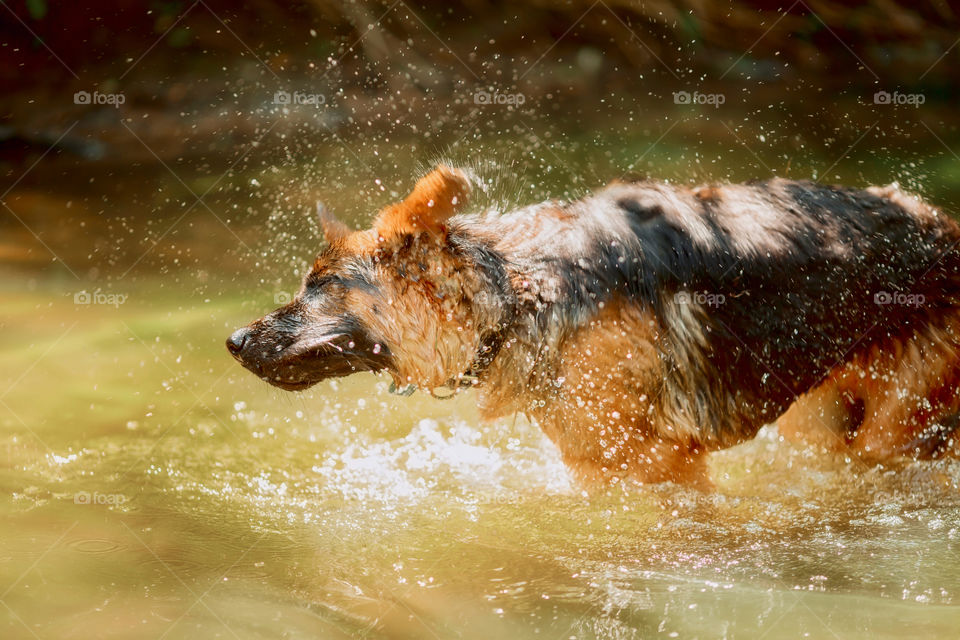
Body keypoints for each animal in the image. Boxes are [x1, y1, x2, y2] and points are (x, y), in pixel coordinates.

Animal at [229, 168, 960, 488]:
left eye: (320, 286)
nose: (233, 341)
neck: (514, 291)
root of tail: (945, 229)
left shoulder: (661, 467)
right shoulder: (597, 466)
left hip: (894, 428)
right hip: (821, 419)